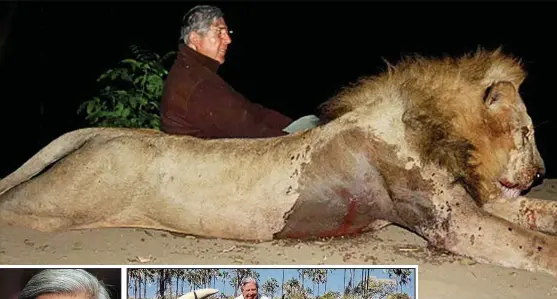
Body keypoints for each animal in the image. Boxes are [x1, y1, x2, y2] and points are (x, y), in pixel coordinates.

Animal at [1, 48, 556, 276]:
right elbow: (534, 245)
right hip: (56, 200)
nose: (540, 174)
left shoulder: (473, 203)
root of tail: (110, 131)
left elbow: (541, 217)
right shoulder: (453, 224)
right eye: (527, 132)